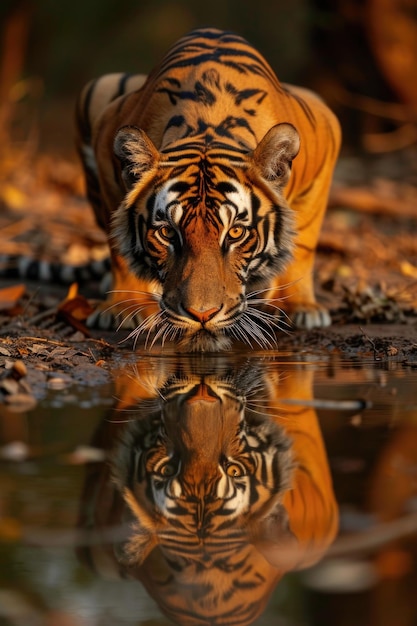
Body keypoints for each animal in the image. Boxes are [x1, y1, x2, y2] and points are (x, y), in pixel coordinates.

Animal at [75, 26, 342, 348]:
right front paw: (127, 308)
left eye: (236, 233)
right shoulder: (107, 147)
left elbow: (302, 246)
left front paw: (299, 306)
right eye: (167, 233)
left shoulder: (326, 140)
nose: (202, 315)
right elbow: (120, 247)